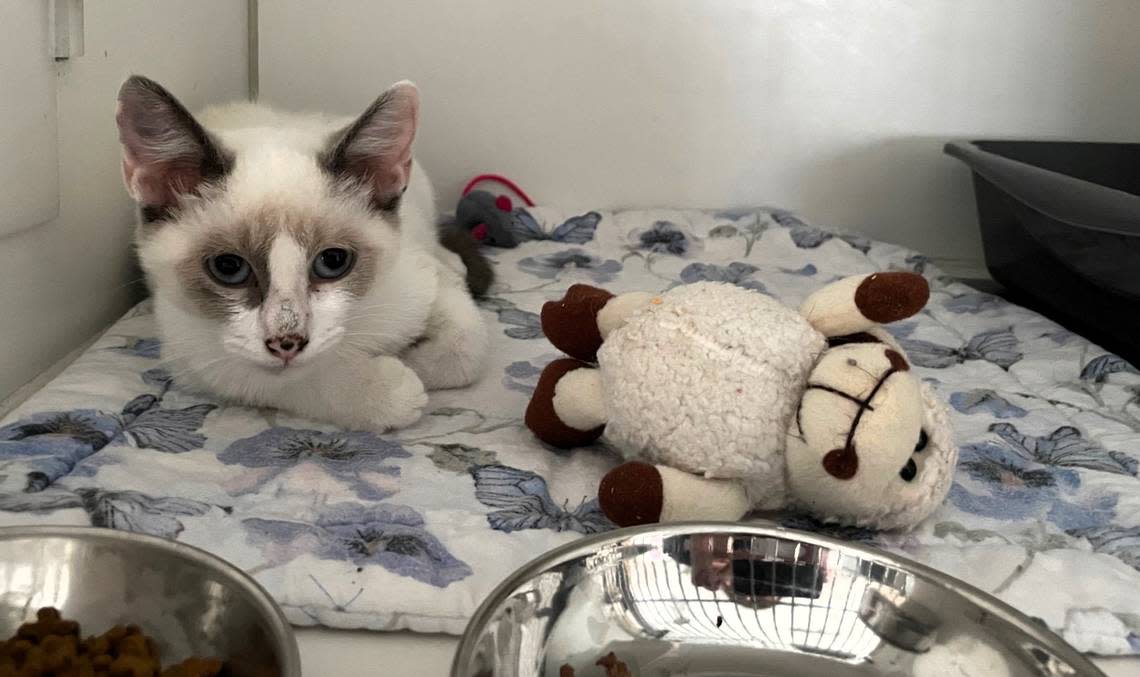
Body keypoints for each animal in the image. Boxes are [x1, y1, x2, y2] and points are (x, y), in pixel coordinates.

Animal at [114, 77, 485, 426]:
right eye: (228, 267)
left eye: (333, 262)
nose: (286, 342)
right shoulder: (196, 359)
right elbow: (287, 379)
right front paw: (390, 389)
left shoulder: (419, 281)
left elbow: (464, 350)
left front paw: (415, 360)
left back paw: (454, 263)